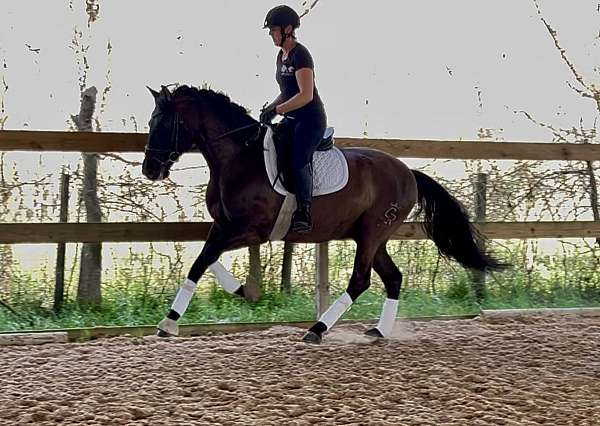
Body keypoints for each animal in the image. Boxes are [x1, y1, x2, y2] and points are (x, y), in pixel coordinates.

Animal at [142, 85, 506, 344]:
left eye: (165, 123)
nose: (150, 170)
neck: (239, 158)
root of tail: (407, 172)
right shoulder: (223, 225)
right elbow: (205, 257)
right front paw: (238, 290)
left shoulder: (252, 231)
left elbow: (205, 257)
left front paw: (173, 320)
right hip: (372, 237)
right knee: (393, 277)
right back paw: (378, 331)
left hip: (372, 233)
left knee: (360, 281)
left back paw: (317, 330)